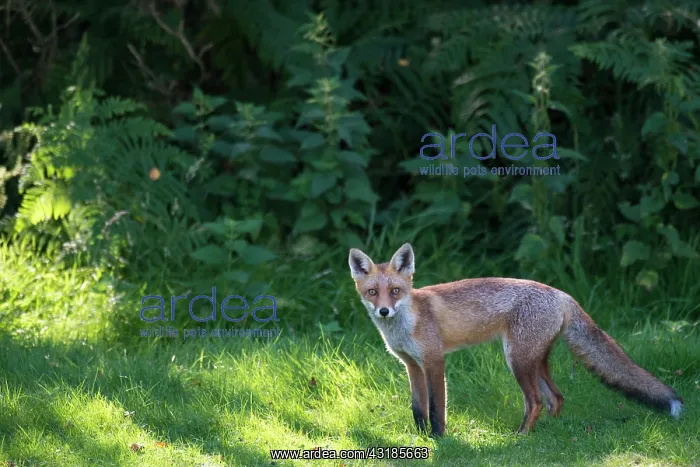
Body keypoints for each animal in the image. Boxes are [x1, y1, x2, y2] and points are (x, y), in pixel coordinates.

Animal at [348, 243, 684, 436]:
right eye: (372, 292)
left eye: (395, 291)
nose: (384, 310)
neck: (408, 323)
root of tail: (561, 294)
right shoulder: (411, 366)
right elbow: (418, 408)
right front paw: (420, 439)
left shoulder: (433, 361)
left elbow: (436, 408)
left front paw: (440, 440)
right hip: (535, 360)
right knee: (556, 397)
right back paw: (546, 432)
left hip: (517, 360)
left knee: (535, 401)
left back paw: (520, 438)